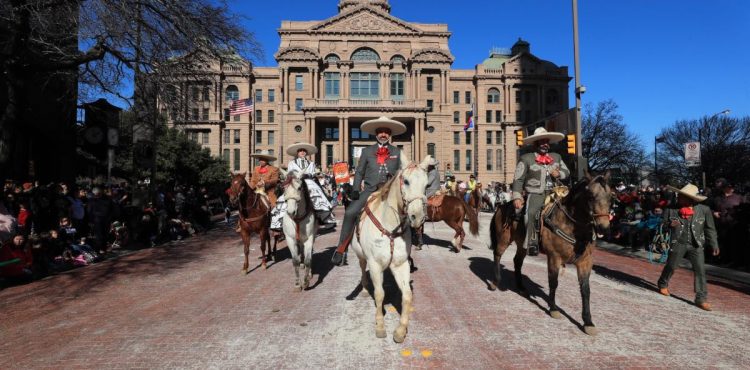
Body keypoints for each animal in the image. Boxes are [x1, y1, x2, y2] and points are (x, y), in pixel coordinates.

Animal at [352, 155, 428, 342]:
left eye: (427, 184)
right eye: (406, 181)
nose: (417, 217)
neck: (390, 227)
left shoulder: (401, 264)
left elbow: (407, 295)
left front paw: (401, 330)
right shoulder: (375, 264)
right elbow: (379, 294)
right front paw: (380, 325)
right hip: (361, 256)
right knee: (362, 269)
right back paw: (364, 288)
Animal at [490, 173, 612, 336]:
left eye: (611, 196)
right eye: (590, 196)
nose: (603, 228)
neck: (572, 226)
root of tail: (502, 206)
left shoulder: (585, 261)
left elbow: (585, 290)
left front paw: (588, 322)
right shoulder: (554, 257)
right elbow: (553, 282)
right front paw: (553, 308)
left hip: (522, 244)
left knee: (517, 261)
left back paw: (521, 287)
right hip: (503, 239)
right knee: (497, 255)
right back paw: (495, 282)